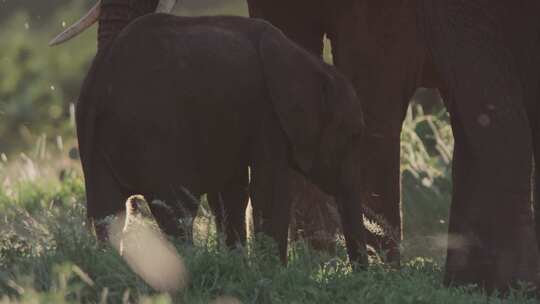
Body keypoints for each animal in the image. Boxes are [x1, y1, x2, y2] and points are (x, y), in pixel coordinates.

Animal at [75, 13, 368, 264]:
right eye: (353, 136)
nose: (362, 274)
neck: (310, 63)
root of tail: (98, 86)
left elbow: (233, 193)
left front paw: (239, 266)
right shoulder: (267, 117)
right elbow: (269, 191)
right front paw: (273, 273)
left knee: (108, 212)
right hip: (156, 137)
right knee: (177, 213)